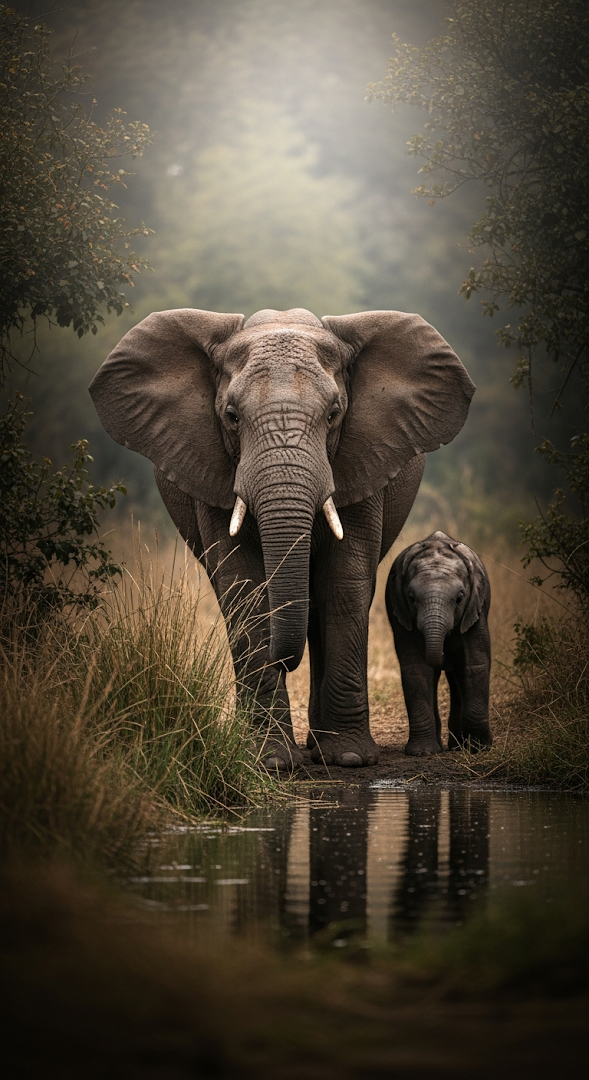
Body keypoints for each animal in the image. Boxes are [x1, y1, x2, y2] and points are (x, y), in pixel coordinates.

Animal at [89, 308, 474, 770]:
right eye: (232, 416)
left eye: (334, 414)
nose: (286, 660)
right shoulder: (214, 474)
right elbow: (245, 589)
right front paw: (270, 762)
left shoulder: (362, 463)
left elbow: (343, 585)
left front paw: (349, 758)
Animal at [385, 531, 492, 755]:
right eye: (411, 598)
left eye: (460, 598)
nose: (444, 653)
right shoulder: (400, 609)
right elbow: (416, 667)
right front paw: (423, 752)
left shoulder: (475, 608)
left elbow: (475, 664)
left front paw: (481, 748)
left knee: (458, 675)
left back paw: (458, 747)